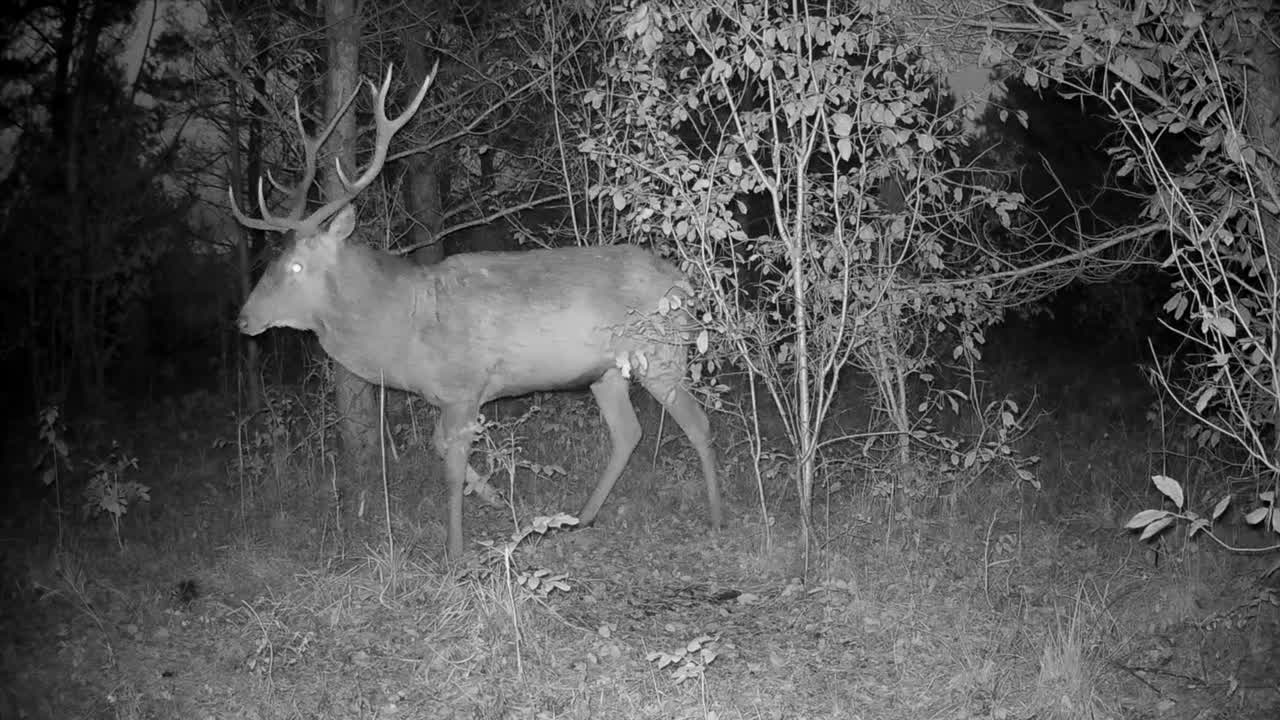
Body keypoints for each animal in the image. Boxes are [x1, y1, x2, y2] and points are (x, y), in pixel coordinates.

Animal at [228, 64, 722, 559]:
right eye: (270, 262)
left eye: (296, 266)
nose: (243, 320)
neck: (403, 329)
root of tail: (686, 283)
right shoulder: (446, 395)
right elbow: (437, 446)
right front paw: (498, 497)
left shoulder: (464, 386)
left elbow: (449, 466)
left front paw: (456, 550)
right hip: (605, 371)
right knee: (628, 432)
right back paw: (582, 516)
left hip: (661, 352)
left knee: (698, 423)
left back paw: (719, 511)